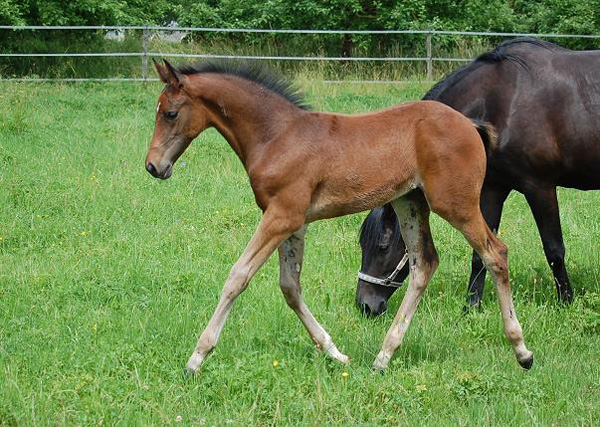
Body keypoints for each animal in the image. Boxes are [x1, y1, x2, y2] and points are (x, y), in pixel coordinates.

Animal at [145, 60, 536, 374]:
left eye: (170, 113)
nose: (153, 166)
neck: (276, 136)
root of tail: (470, 124)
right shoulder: (294, 221)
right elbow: (290, 287)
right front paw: (334, 352)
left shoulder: (281, 216)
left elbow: (238, 276)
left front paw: (196, 358)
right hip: (409, 203)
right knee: (424, 263)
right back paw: (382, 357)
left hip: (456, 204)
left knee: (495, 253)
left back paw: (522, 351)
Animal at [358, 37, 600, 318]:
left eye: (382, 246)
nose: (365, 305)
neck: (504, 102)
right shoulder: (493, 189)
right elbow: (480, 253)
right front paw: (471, 307)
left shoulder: (540, 187)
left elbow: (554, 249)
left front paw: (565, 301)